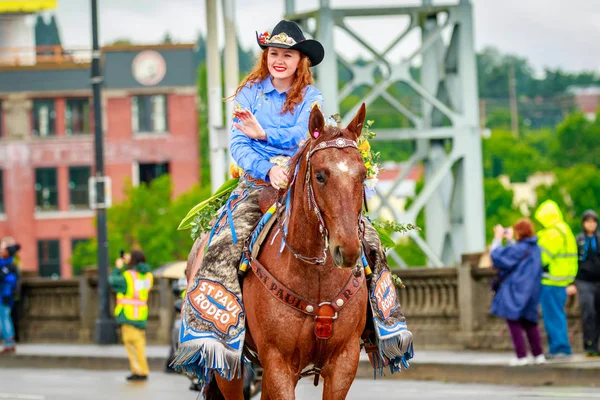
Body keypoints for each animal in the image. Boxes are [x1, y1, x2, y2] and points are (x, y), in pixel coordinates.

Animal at [186, 104, 370, 400]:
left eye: (363, 174)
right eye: (320, 175)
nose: (348, 248)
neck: (316, 278)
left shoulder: (344, 361)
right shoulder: (277, 362)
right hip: (228, 362)